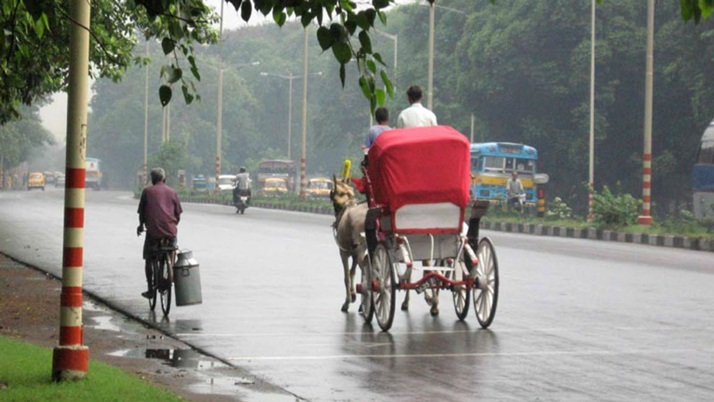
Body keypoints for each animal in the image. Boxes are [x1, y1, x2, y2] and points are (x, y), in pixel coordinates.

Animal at [330, 174, 370, 312]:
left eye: (332, 192)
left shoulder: (344, 251)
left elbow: (347, 276)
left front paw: (347, 301)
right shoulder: (353, 252)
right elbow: (352, 272)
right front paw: (353, 295)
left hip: (360, 247)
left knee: (367, 270)